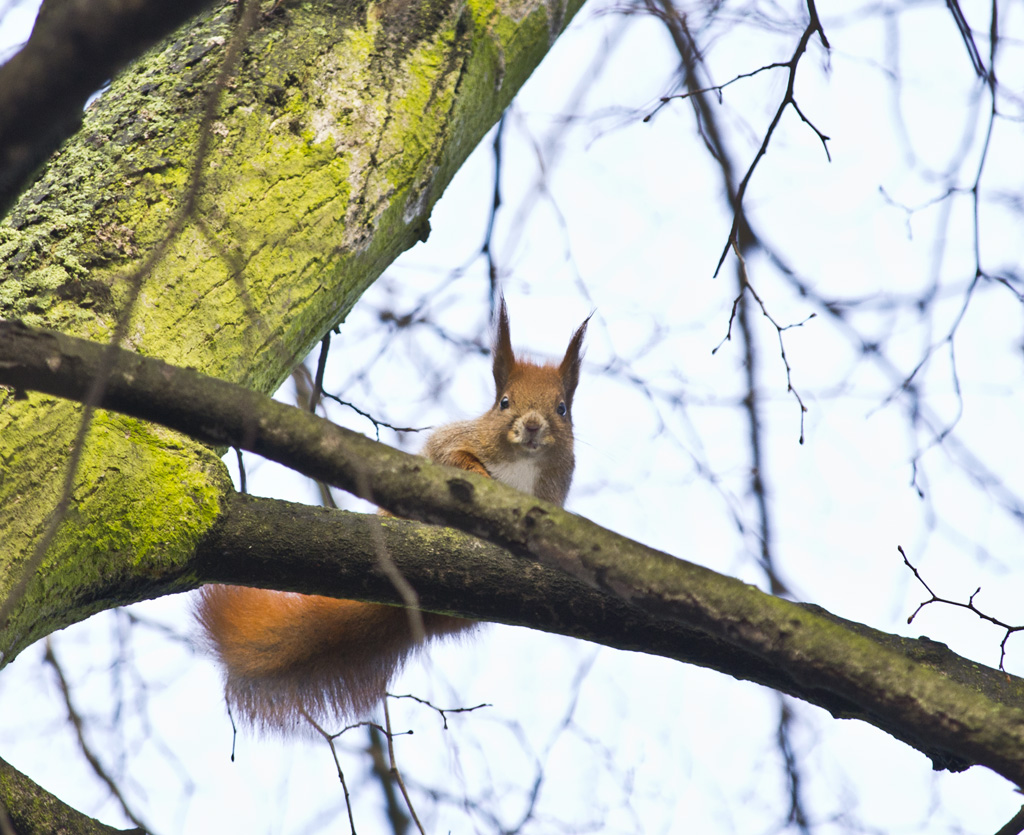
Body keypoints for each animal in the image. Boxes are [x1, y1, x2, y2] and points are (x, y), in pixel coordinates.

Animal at [194, 299, 589, 729]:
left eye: (562, 409)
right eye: (504, 403)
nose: (532, 426)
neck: (523, 462)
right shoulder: (454, 441)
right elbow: (449, 454)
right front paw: (478, 475)